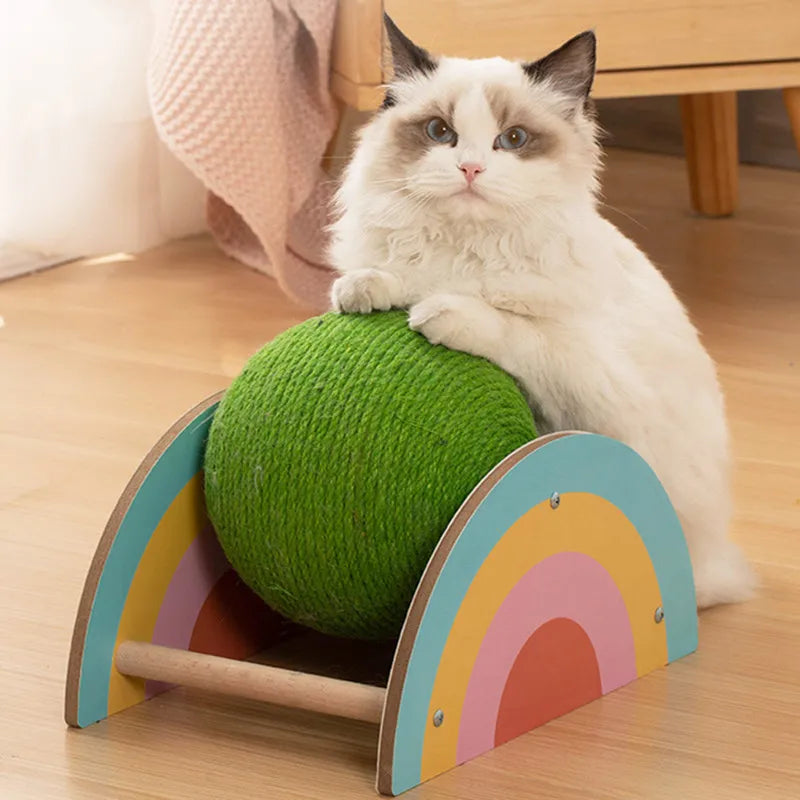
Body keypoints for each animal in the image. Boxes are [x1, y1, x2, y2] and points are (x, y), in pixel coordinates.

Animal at [326, 15, 756, 608]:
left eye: (513, 140)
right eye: (439, 133)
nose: (470, 168)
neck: (466, 250)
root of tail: (715, 560)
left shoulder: (590, 379)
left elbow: (512, 328)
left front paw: (442, 311)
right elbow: (389, 275)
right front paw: (365, 288)